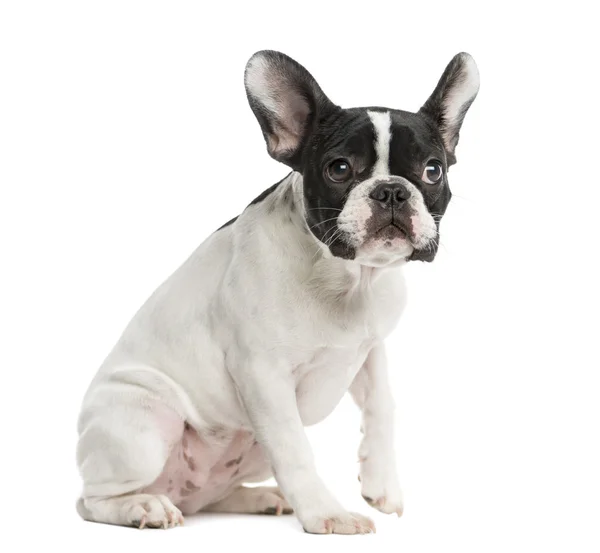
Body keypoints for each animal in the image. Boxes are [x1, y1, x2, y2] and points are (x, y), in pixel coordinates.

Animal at [76, 49, 478, 532]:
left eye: (432, 171)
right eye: (339, 169)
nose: (392, 192)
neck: (350, 279)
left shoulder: (370, 349)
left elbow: (383, 405)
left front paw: (381, 482)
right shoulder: (263, 375)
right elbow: (294, 449)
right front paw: (327, 514)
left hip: (241, 453)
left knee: (210, 496)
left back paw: (260, 498)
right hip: (146, 424)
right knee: (93, 500)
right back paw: (144, 507)